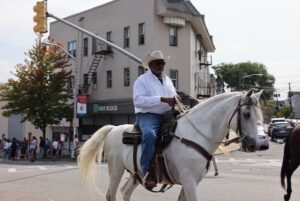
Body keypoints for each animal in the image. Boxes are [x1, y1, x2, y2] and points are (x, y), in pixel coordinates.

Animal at [77, 90, 262, 201]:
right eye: (246, 114)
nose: (254, 145)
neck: (195, 135)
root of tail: (114, 128)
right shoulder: (189, 181)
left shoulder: (191, 182)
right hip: (116, 170)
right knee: (111, 194)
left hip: (137, 173)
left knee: (125, 192)